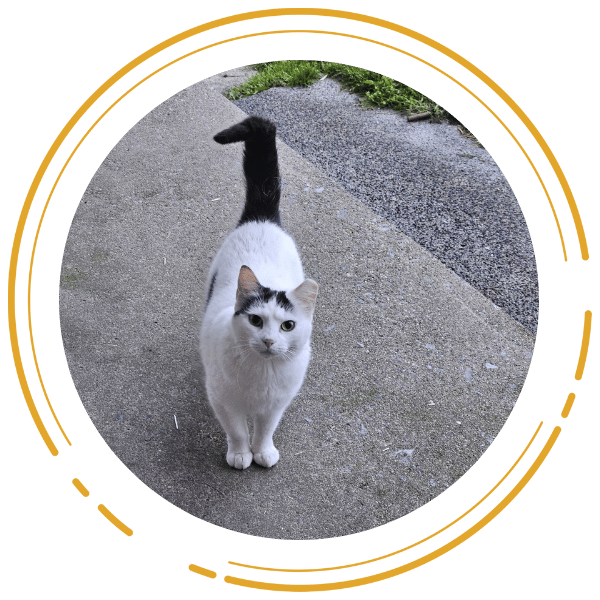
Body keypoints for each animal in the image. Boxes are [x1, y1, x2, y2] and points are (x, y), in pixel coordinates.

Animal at [199, 116, 318, 468]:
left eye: (288, 325)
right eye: (255, 321)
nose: (268, 341)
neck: (262, 376)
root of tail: (262, 217)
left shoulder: (276, 405)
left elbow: (265, 428)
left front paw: (263, 451)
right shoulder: (222, 400)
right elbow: (238, 430)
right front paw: (241, 455)